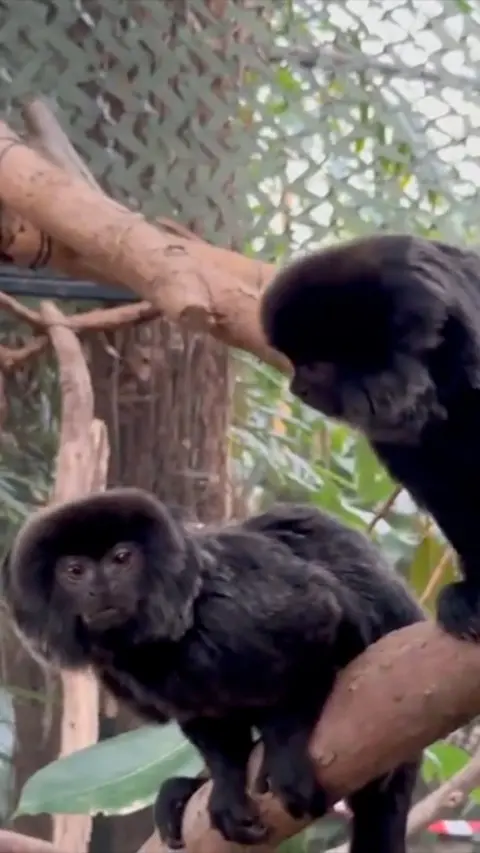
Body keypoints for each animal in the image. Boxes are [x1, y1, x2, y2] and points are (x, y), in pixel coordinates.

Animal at [2, 487, 424, 851]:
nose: (101, 588)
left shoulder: (233, 608)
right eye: (74, 571)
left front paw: (285, 747)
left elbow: (321, 617)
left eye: (121, 559)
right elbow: (209, 724)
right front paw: (224, 780)